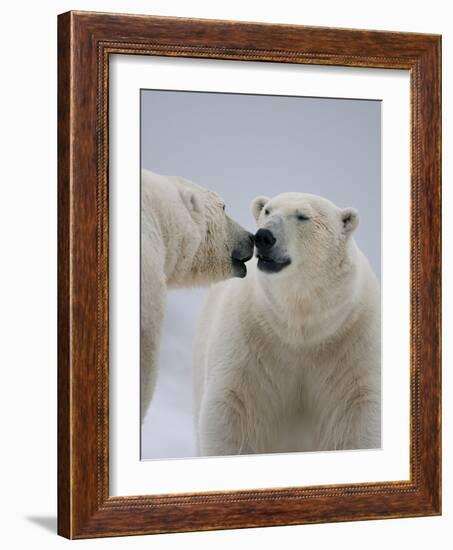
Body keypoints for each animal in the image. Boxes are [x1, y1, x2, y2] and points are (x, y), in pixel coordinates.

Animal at [192, 193, 380, 458]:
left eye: (303, 216)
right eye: (268, 211)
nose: (263, 236)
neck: (299, 324)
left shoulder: (353, 341)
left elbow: (357, 410)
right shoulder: (249, 338)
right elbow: (233, 406)